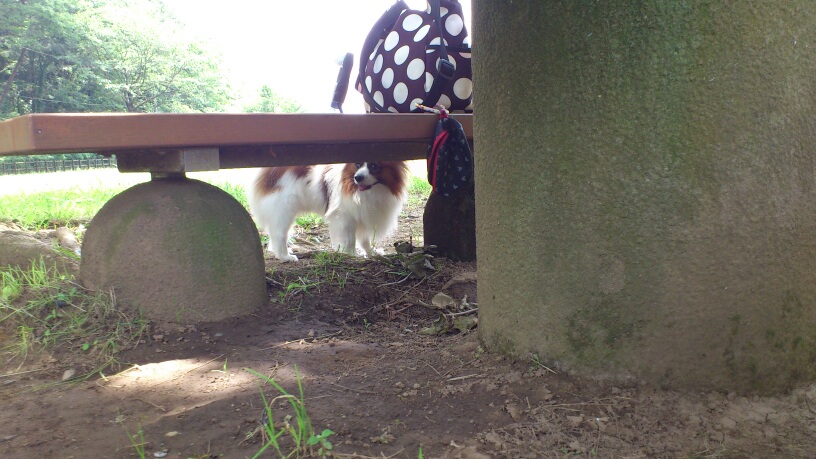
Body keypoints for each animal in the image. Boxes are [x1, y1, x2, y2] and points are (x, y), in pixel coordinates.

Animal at [247, 162, 408, 262]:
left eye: (374, 166)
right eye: (357, 165)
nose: (357, 177)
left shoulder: (363, 215)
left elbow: (364, 240)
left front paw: (372, 254)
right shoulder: (345, 217)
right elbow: (350, 240)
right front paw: (352, 255)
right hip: (284, 210)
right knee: (279, 233)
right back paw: (285, 257)